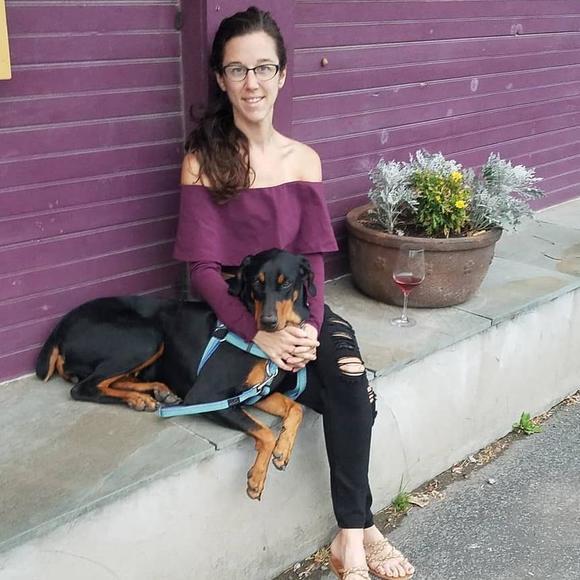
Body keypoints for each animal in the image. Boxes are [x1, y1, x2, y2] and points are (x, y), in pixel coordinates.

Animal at [36, 249, 316, 499]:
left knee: (111, 380)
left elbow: (296, 408)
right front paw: (257, 478)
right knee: (84, 387)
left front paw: (283, 450)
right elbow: (265, 431)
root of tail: (59, 329)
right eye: (256, 283)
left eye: (286, 283)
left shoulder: (256, 393)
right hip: (147, 336)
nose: (267, 322)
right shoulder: (207, 396)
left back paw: (152, 393)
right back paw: (140, 397)